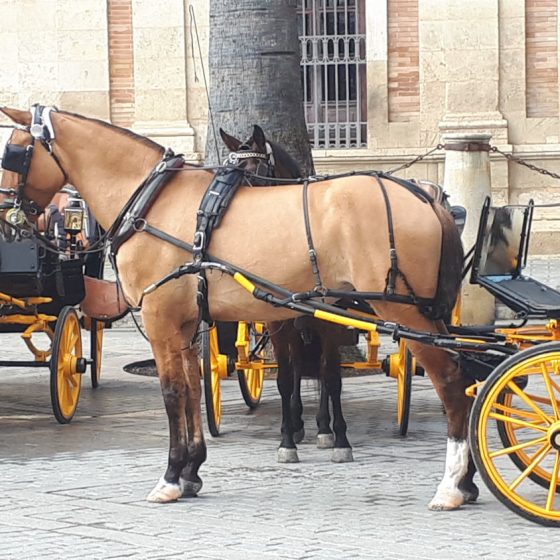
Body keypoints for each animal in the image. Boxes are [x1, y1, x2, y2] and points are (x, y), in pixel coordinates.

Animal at [221, 127, 352, 464]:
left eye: (255, 175)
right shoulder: (278, 326)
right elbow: (283, 380)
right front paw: (286, 440)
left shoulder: (330, 325)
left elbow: (331, 377)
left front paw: (339, 438)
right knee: (295, 372)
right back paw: (297, 423)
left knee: (322, 372)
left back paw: (323, 426)